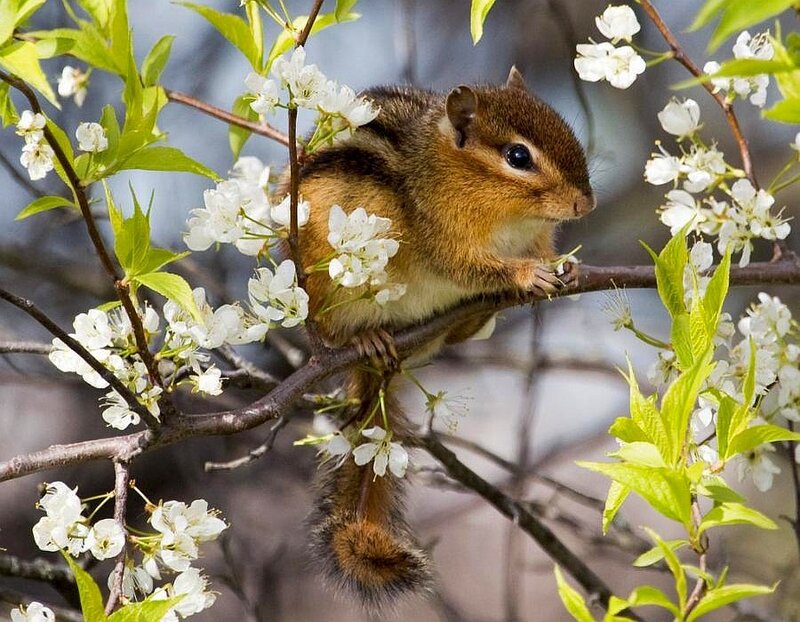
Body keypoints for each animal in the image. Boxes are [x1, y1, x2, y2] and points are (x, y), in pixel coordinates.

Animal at [294, 67, 595, 610]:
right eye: (518, 157)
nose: (587, 203)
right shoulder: (444, 236)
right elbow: (468, 267)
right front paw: (525, 274)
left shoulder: (536, 235)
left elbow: (545, 250)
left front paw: (569, 267)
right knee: (336, 328)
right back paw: (369, 337)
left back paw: (469, 321)